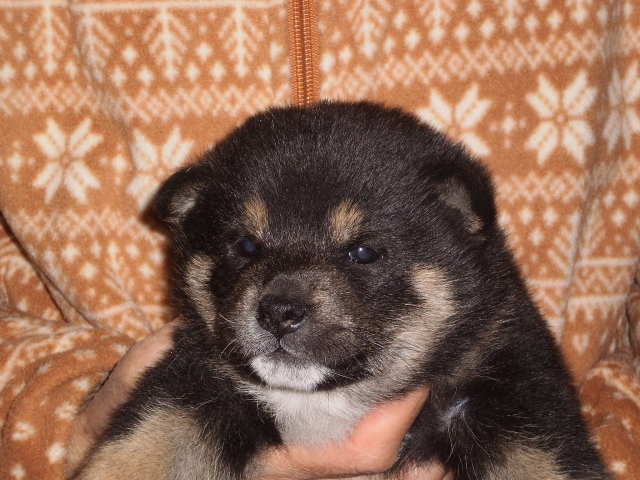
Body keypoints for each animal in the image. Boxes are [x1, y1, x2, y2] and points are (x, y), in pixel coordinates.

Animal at [77, 101, 610, 479]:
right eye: (246, 245)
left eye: (364, 251)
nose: (279, 310)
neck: (325, 405)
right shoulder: (198, 381)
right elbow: (148, 442)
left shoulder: (512, 389)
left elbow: (540, 459)